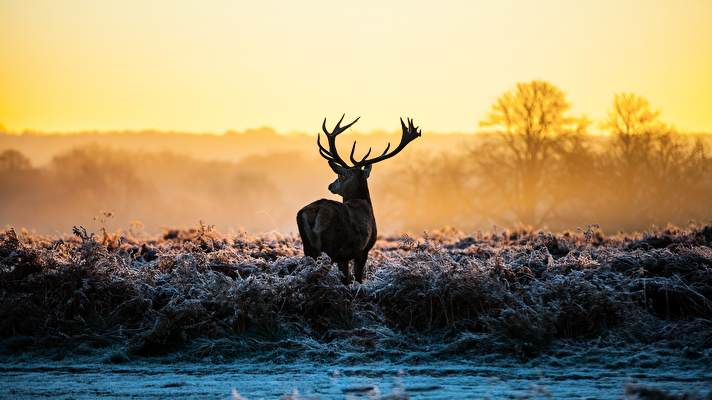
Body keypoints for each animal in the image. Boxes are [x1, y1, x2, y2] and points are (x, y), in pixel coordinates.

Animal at [296, 115, 420, 284]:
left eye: (340, 175)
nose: (330, 185)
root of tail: (315, 212)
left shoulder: (345, 256)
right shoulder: (363, 249)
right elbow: (357, 278)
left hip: (308, 248)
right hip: (331, 246)